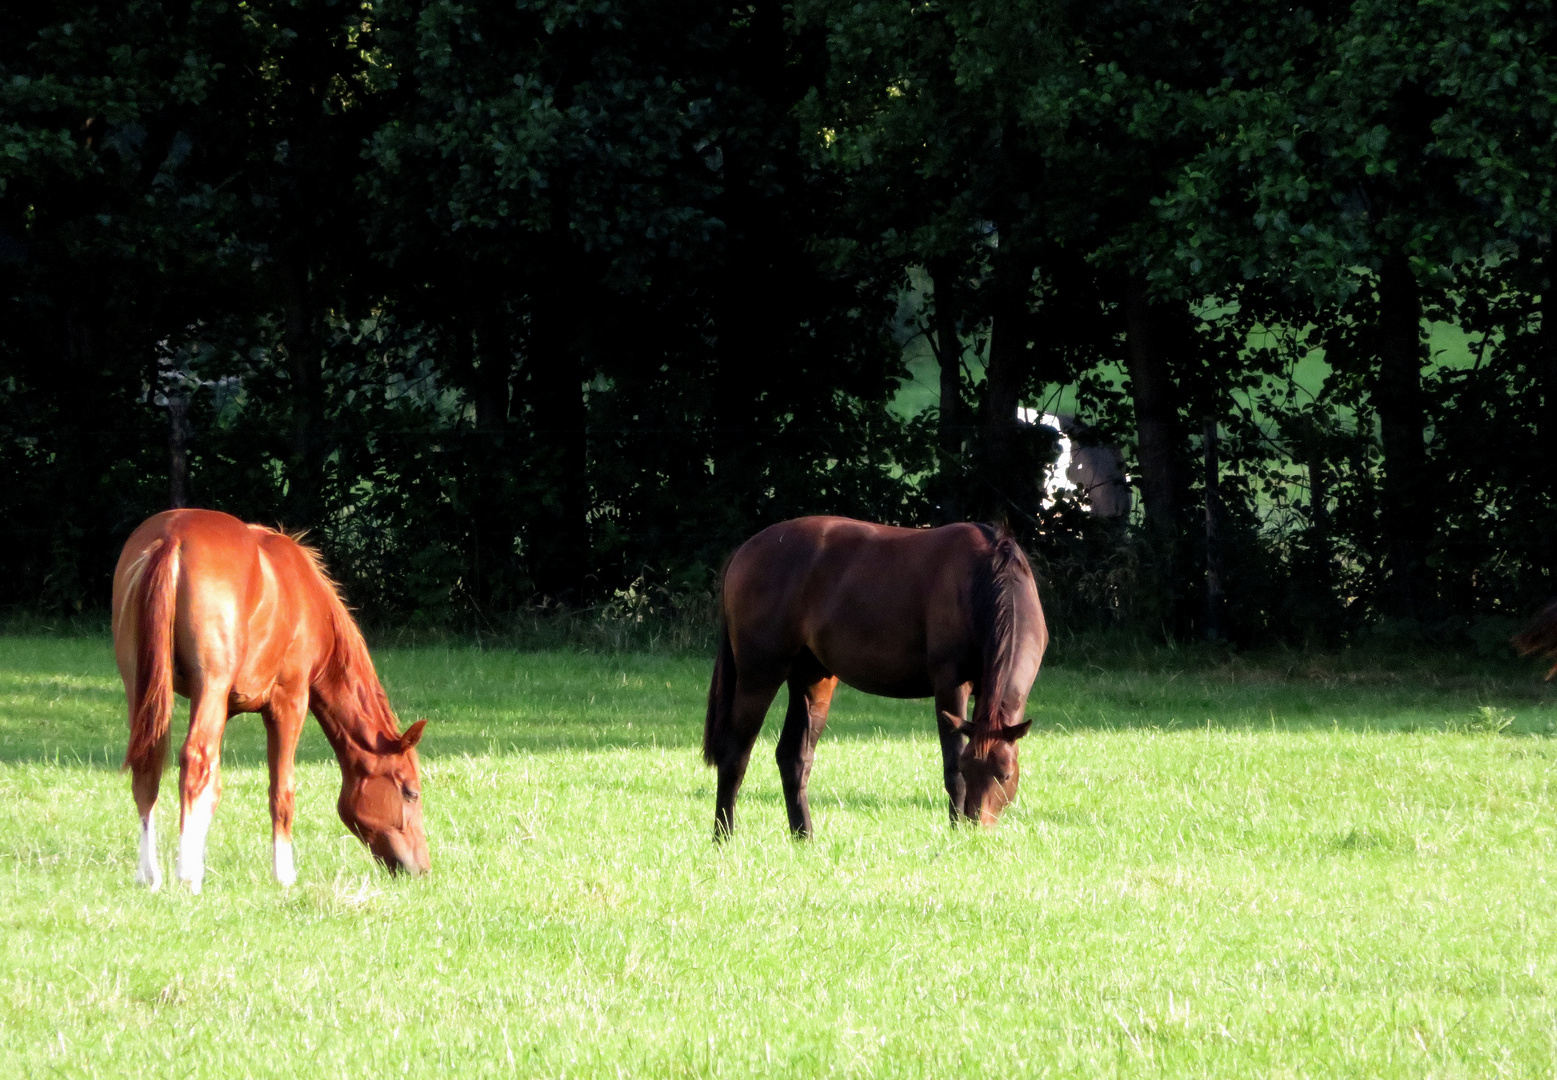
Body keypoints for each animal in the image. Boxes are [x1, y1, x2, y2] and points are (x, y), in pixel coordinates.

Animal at [703, 519, 1046, 840]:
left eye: (1005, 775)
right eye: (968, 768)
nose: (977, 828)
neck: (983, 579)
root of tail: (745, 549)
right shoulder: (951, 685)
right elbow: (951, 769)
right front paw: (954, 833)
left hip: (813, 680)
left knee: (793, 759)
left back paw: (805, 839)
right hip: (759, 675)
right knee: (735, 756)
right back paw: (723, 837)